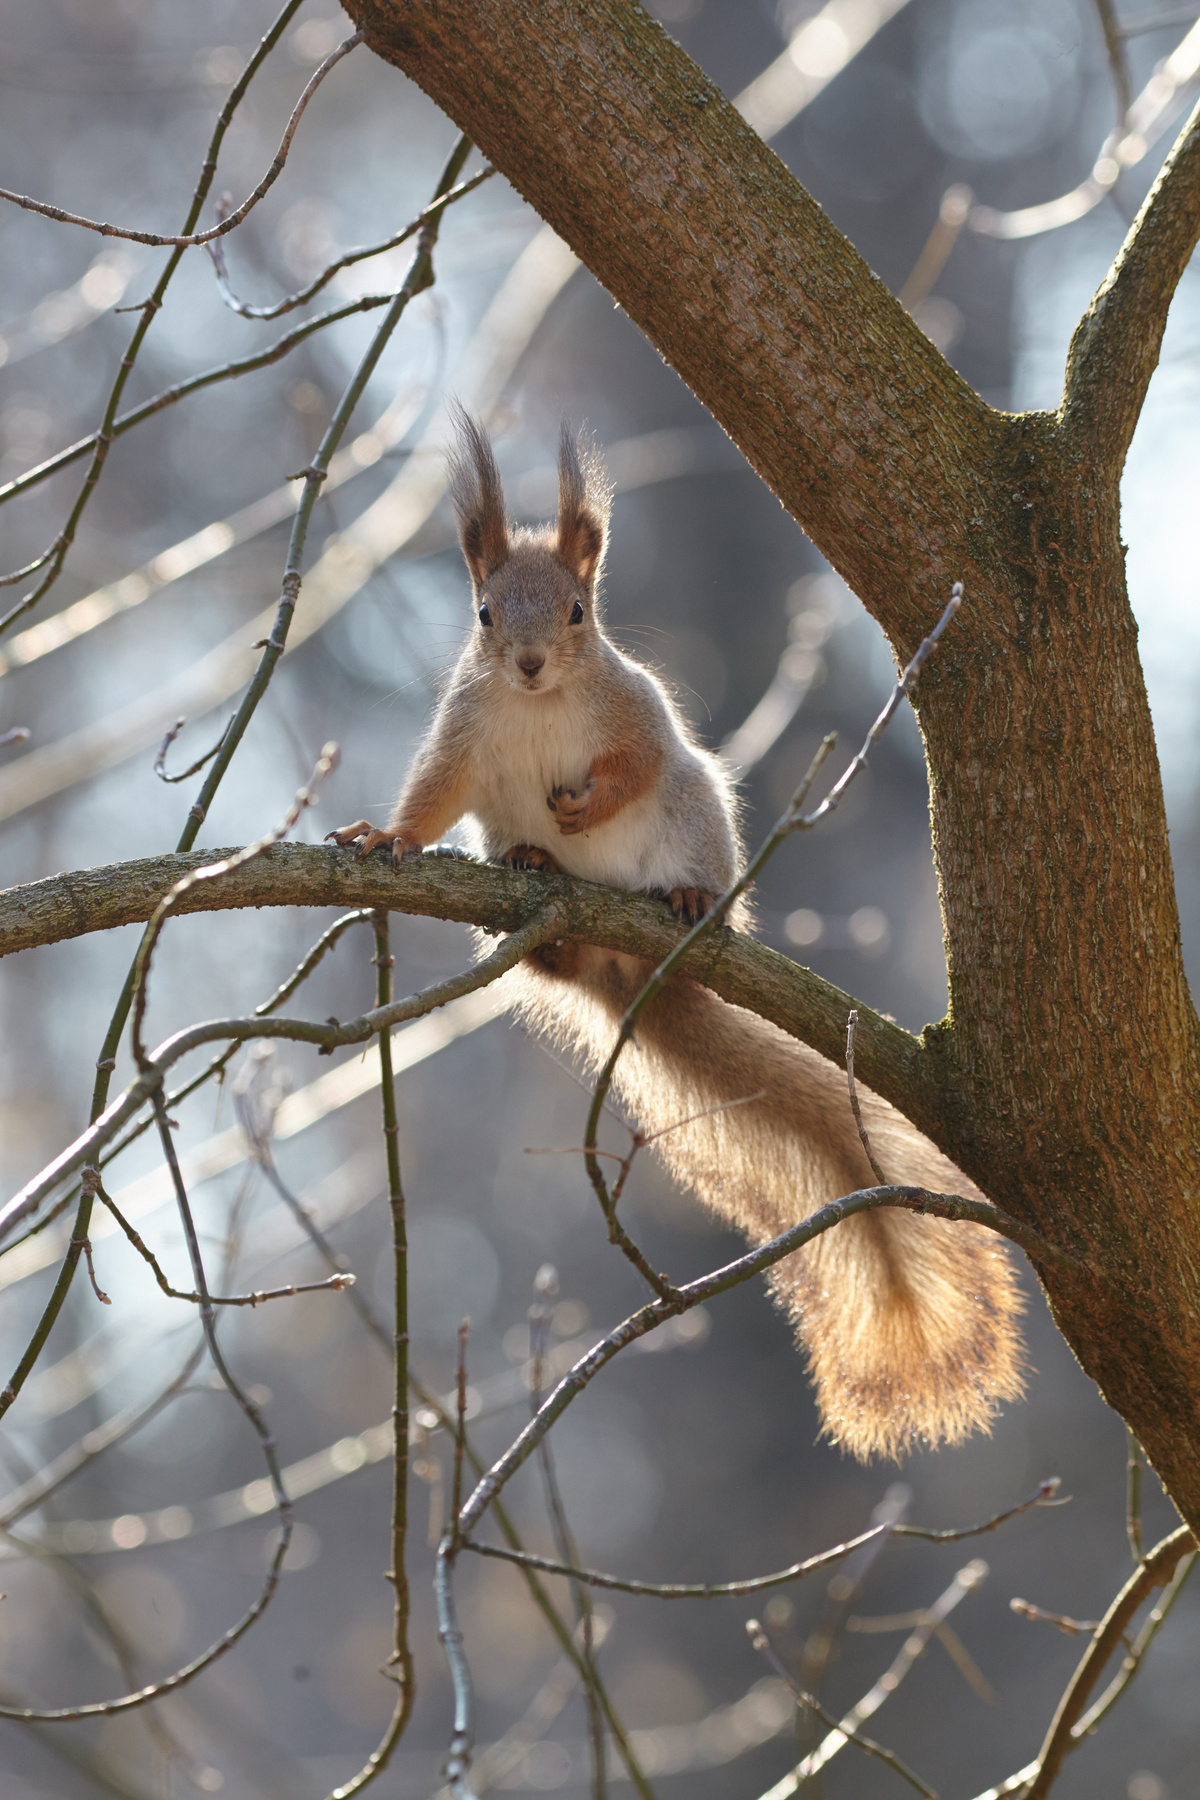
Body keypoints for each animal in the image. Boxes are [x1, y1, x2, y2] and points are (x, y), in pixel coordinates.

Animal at [327, 412, 1025, 1460]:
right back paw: (540, 893)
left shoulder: (642, 717)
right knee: (545, 927)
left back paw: (694, 904)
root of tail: (631, 972)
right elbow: (431, 800)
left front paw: (588, 803)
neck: (538, 704)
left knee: (686, 833)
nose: (529, 662)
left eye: (578, 612)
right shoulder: (460, 743)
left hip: (700, 811)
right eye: (485, 614)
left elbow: (635, 762)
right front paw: (387, 838)